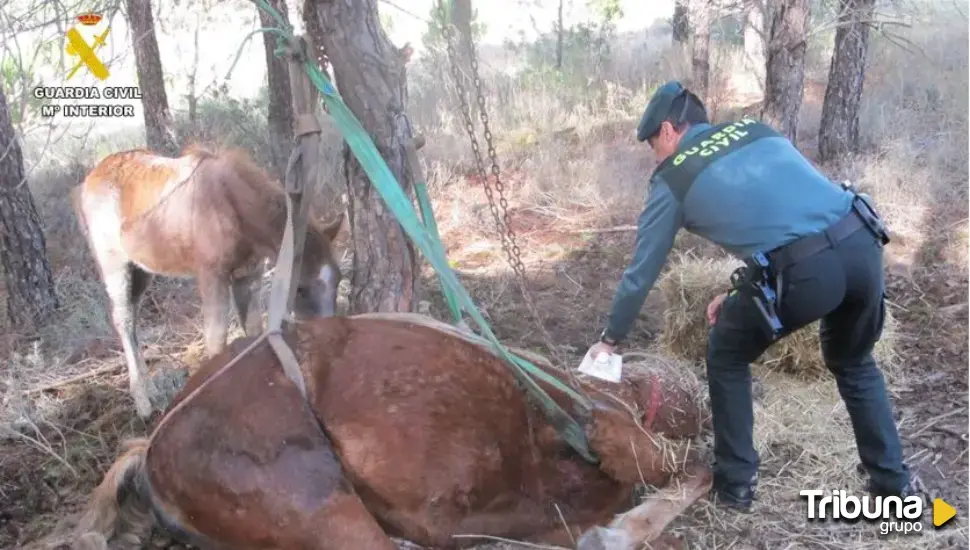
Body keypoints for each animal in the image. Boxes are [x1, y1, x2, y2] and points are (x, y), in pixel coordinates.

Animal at [73, 144, 344, 420]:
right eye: (300, 288)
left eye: (339, 279)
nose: (330, 337)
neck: (231, 206)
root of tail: (87, 182)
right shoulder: (211, 275)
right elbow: (216, 338)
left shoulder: (248, 274)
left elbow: (253, 329)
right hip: (115, 267)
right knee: (123, 320)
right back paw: (143, 403)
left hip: (141, 269)